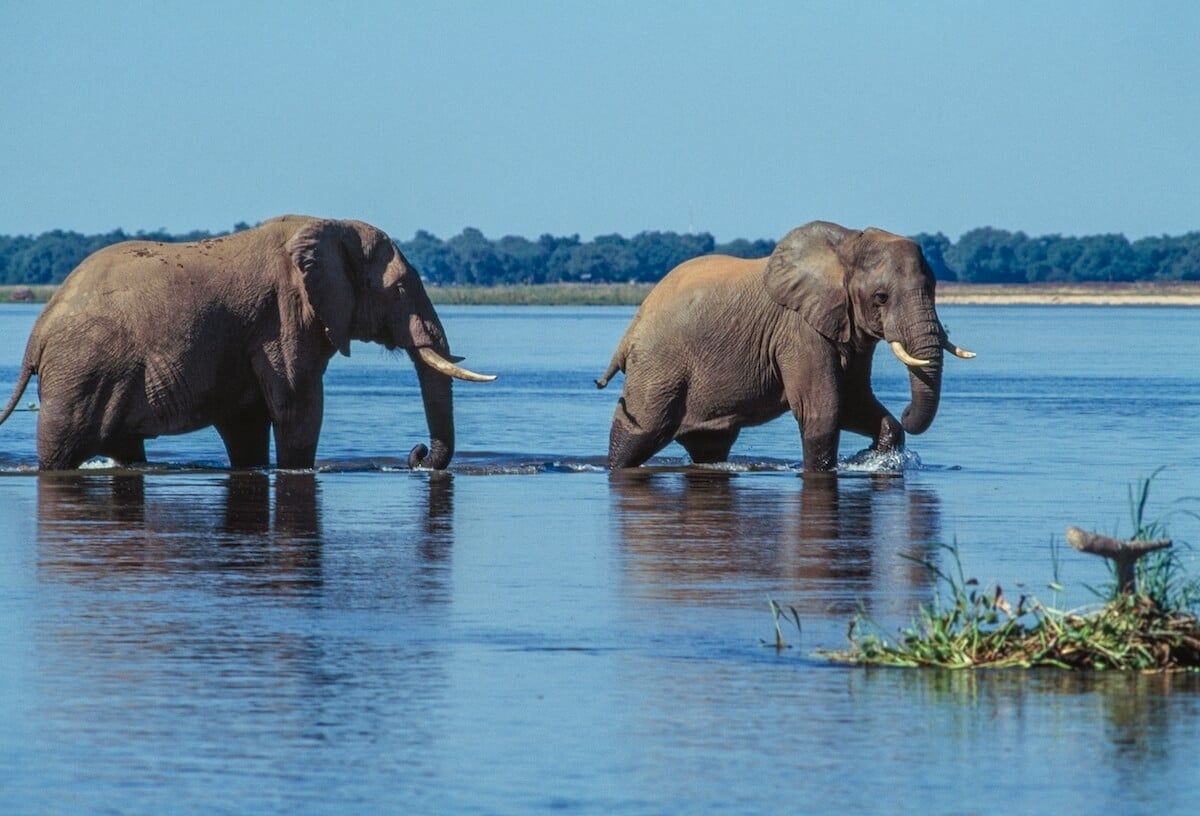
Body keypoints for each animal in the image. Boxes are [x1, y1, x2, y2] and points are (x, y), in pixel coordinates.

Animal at [0, 214, 496, 472]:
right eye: (399, 288)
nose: (415, 455)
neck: (328, 227)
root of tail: (38, 333)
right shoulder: (284, 318)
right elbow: (299, 407)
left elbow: (247, 422)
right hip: (82, 371)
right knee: (61, 447)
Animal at [595, 219, 969, 472]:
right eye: (881, 297)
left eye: (934, 287)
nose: (908, 411)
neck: (846, 245)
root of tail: (630, 330)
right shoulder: (799, 331)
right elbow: (824, 410)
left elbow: (855, 404)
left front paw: (880, 454)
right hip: (658, 368)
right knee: (637, 433)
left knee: (708, 446)